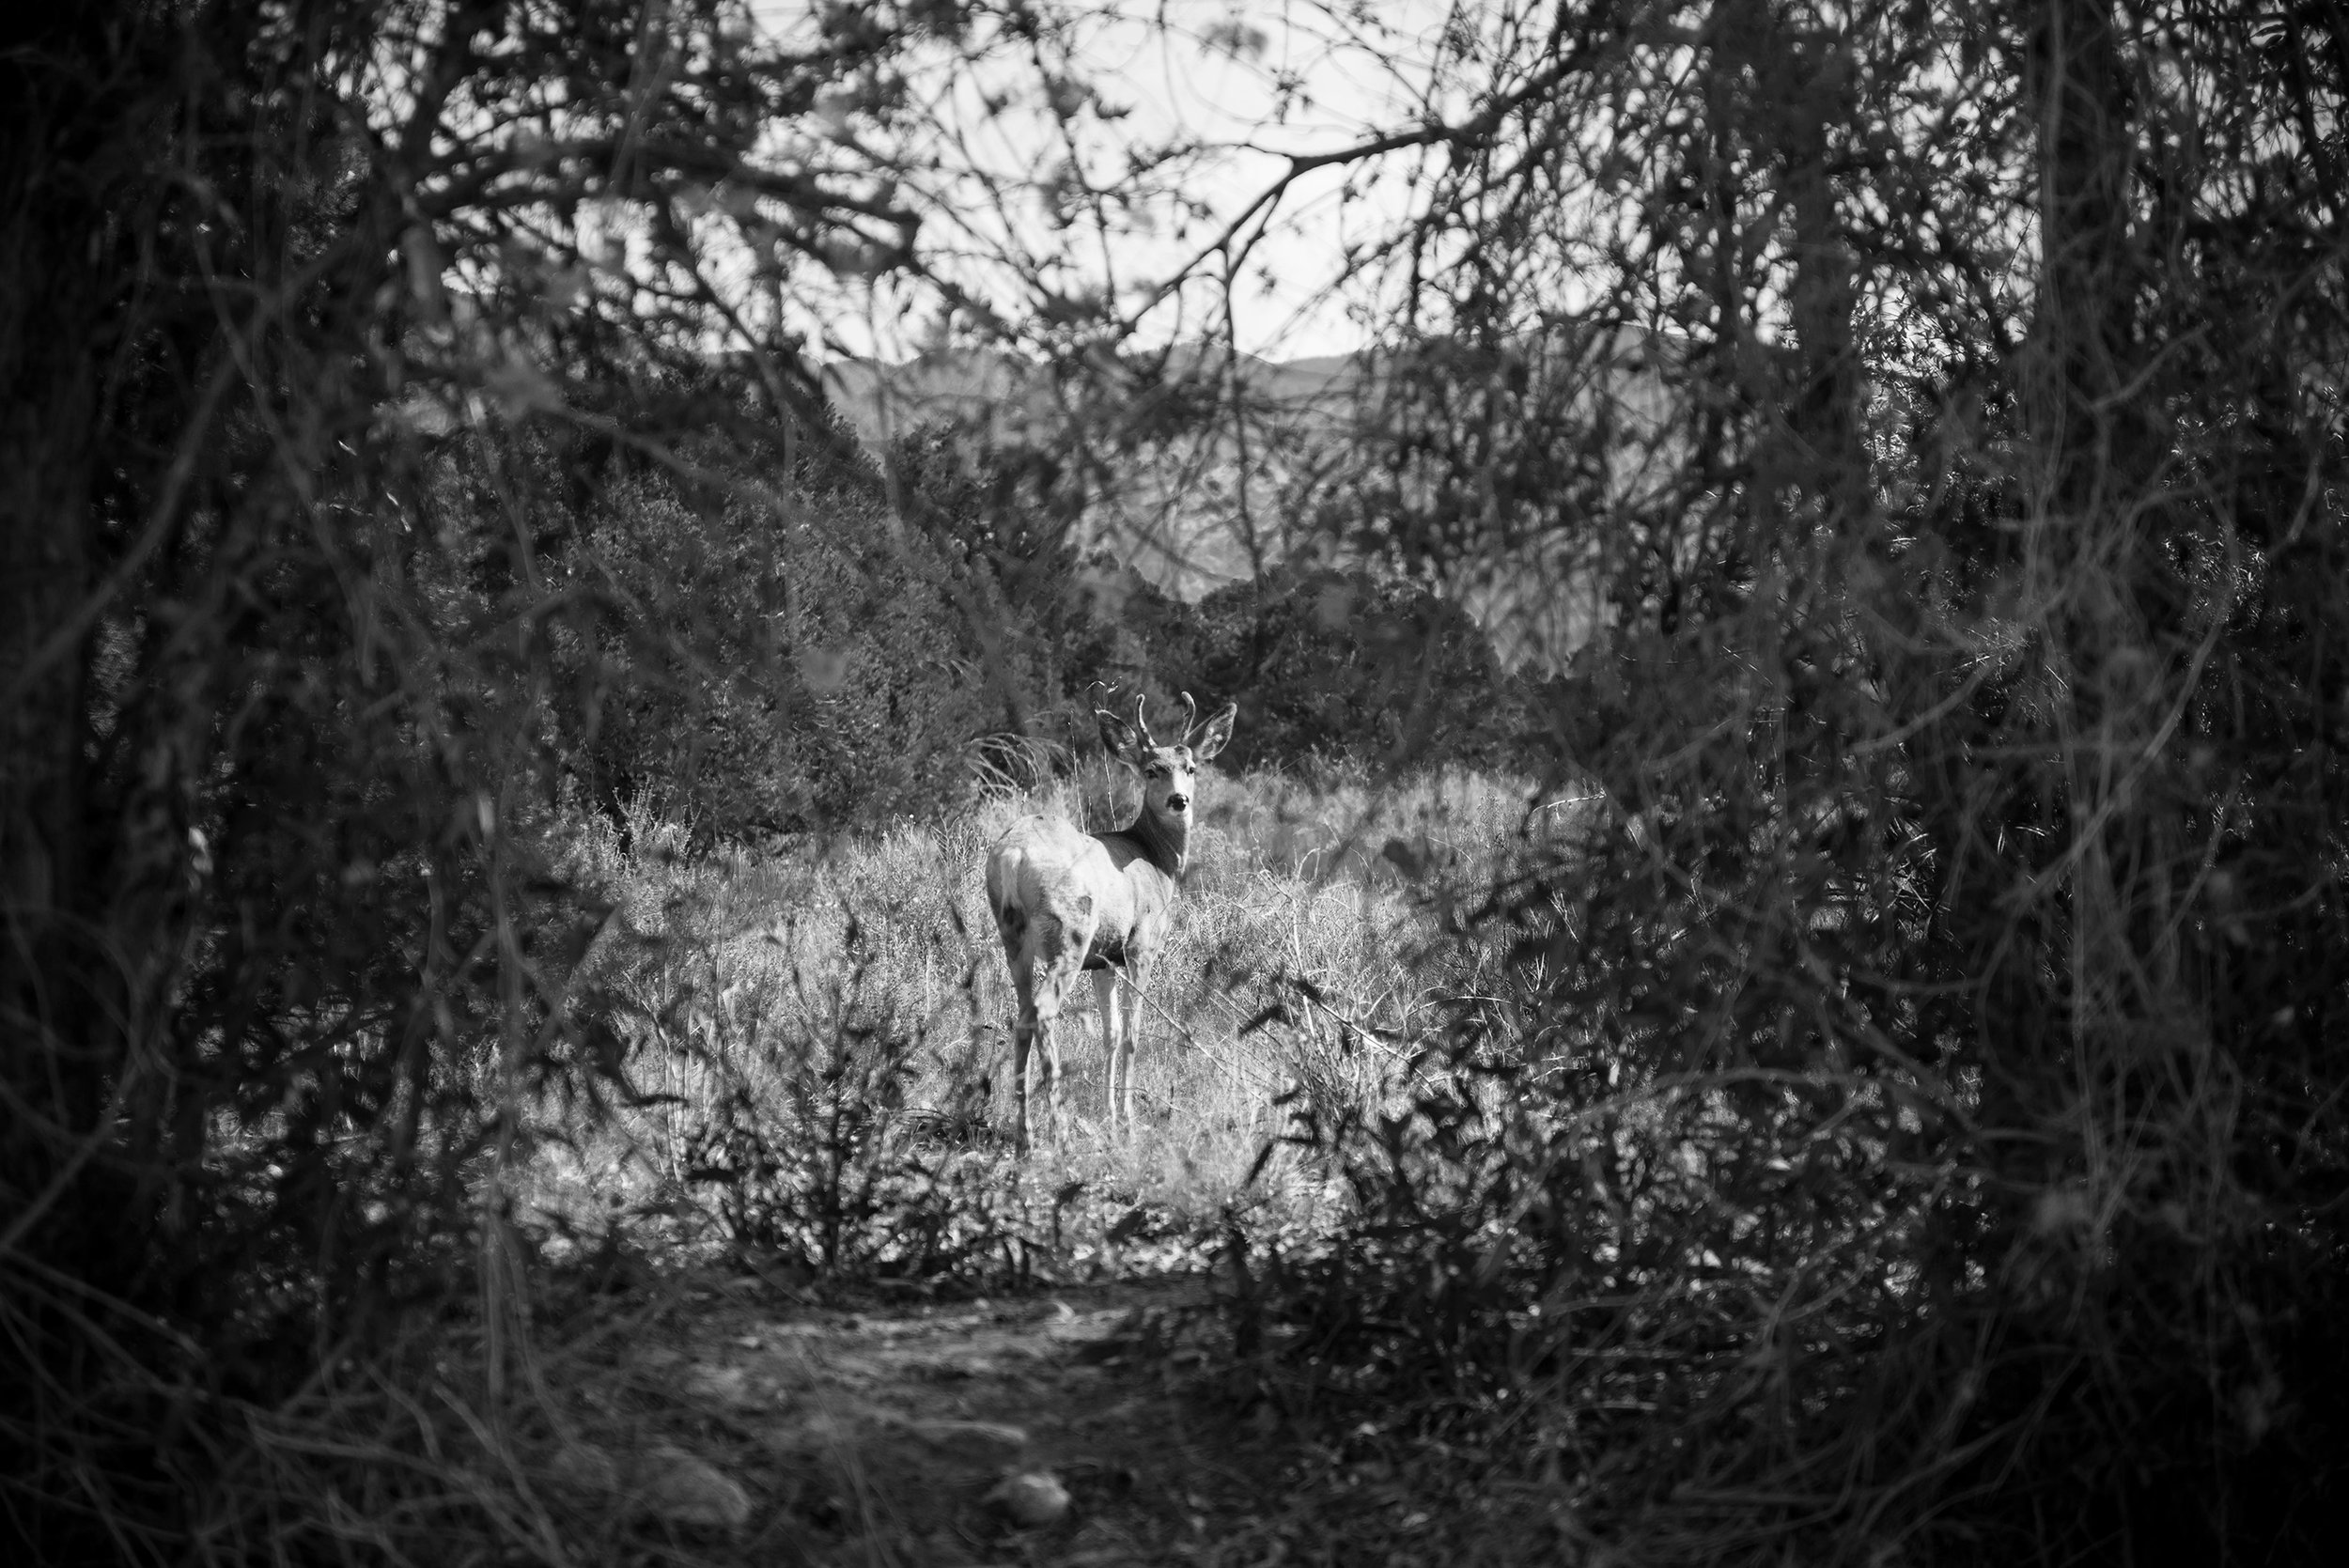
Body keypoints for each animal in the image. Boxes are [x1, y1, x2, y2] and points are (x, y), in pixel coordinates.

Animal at [982, 685, 1240, 1150]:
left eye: (1191, 768)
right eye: (1152, 770)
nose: (1180, 800)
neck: (1154, 860)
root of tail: (1012, 856)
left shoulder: (1104, 960)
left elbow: (1111, 1034)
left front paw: (1110, 1116)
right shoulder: (1141, 944)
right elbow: (1134, 1035)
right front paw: (1130, 1121)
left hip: (1013, 936)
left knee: (1023, 1014)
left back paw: (1025, 1133)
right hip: (1071, 930)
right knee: (1044, 1010)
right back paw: (1060, 1131)